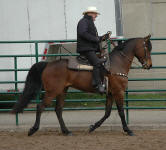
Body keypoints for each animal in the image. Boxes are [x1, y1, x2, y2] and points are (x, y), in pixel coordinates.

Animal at [13, 34, 152, 137]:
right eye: (148, 48)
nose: (149, 65)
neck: (117, 63)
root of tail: (48, 64)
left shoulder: (110, 93)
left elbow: (107, 113)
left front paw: (93, 127)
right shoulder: (119, 92)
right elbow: (121, 112)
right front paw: (128, 130)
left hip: (62, 91)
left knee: (58, 110)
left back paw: (66, 131)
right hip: (52, 91)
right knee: (40, 107)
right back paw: (33, 129)